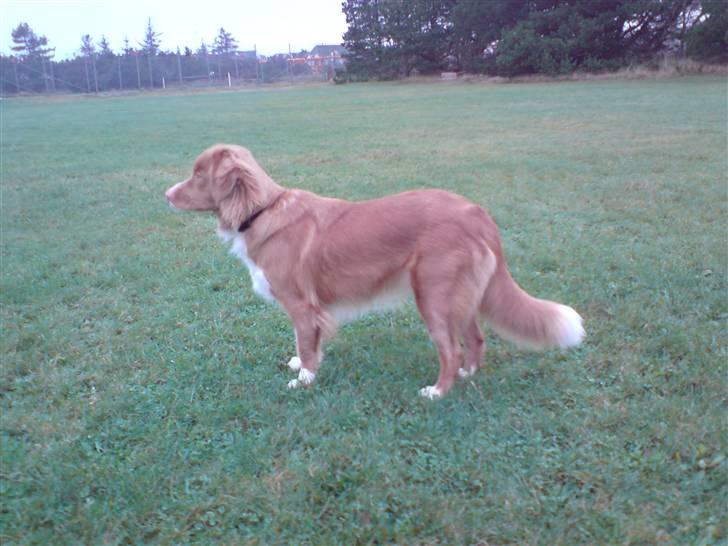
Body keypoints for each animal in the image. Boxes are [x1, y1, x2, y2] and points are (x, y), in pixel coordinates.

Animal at [166, 142, 584, 398]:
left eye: (199, 175)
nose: (166, 195)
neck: (260, 211)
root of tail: (476, 213)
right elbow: (310, 345)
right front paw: (304, 365)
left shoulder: (302, 306)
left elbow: (306, 343)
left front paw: (304, 379)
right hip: (460, 295)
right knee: (476, 339)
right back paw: (467, 376)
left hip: (433, 294)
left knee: (450, 349)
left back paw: (438, 391)